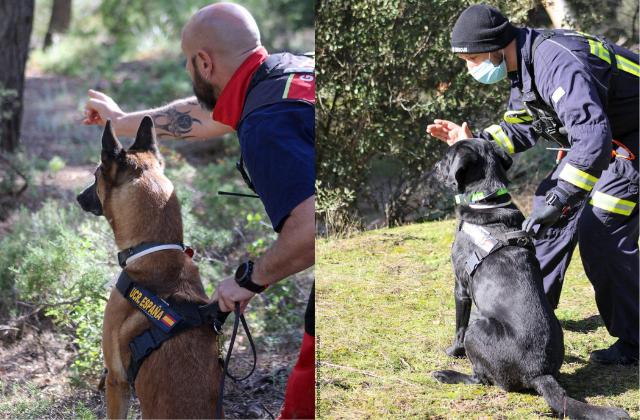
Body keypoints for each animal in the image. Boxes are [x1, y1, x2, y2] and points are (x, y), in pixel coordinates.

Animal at [432, 139, 628, 418]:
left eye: (447, 157)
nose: (435, 166)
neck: (486, 201)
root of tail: (539, 373)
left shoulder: (461, 288)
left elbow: (458, 327)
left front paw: (453, 352)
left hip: (478, 328)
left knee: (481, 378)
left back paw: (447, 375)